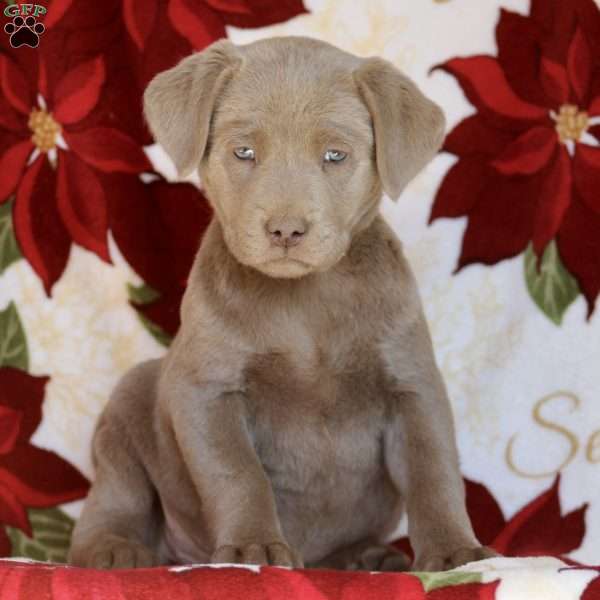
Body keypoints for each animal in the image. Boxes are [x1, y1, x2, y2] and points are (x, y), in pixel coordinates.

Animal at [68, 36, 494, 572]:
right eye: (244, 151)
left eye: (335, 155)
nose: (286, 229)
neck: (305, 301)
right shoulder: (207, 389)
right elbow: (239, 473)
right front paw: (252, 547)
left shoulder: (412, 384)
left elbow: (433, 472)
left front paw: (456, 551)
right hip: (125, 411)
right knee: (111, 504)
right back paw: (115, 551)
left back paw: (370, 557)